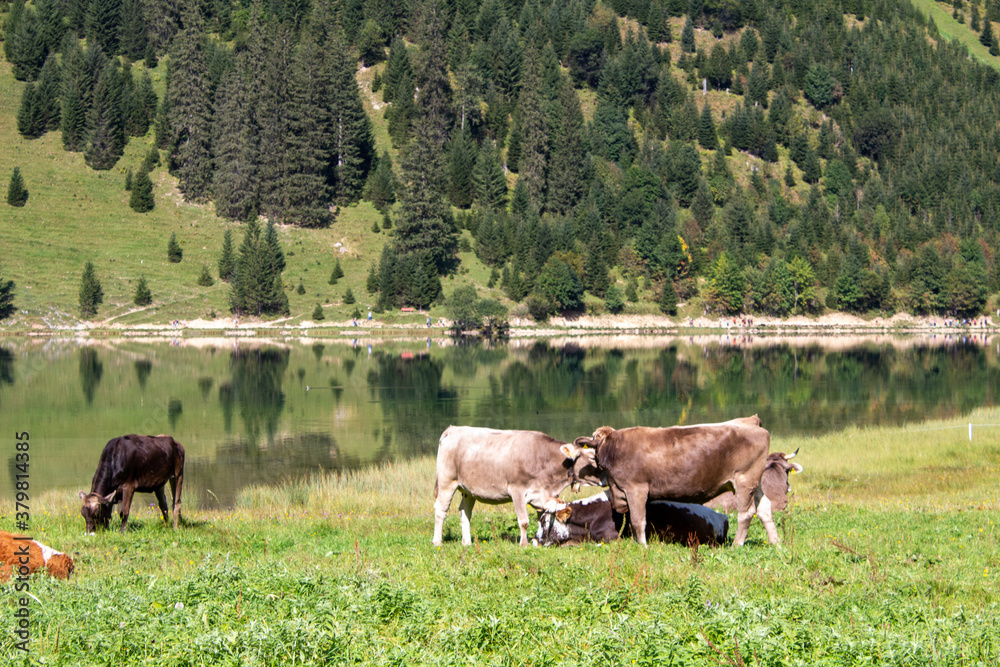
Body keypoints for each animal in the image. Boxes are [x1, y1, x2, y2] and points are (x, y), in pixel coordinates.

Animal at [432, 426, 605, 547]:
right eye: (592, 457)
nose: (605, 476)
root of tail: (453, 429)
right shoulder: (517, 490)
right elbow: (524, 521)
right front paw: (524, 544)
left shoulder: (544, 495)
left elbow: (543, 518)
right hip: (447, 481)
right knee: (441, 510)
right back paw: (437, 541)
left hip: (468, 490)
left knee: (465, 512)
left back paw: (467, 542)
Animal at [573, 416, 776, 546]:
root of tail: (750, 421)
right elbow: (631, 521)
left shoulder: (636, 489)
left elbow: (637, 520)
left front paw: (642, 546)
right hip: (756, 483)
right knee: (765, 507)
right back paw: (775, 542)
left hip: (744, 480)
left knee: (746, 513)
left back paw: (737, 544)